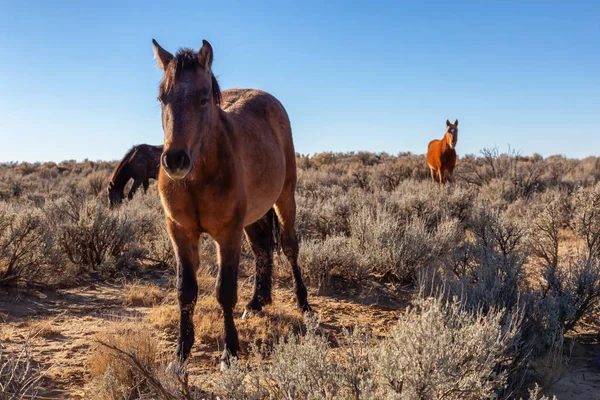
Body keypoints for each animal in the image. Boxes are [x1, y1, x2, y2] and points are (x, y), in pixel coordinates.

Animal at [150, 38, 312, 368]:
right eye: (162, 98)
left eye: (203, 99)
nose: (174, 160)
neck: (198, 177)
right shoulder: (180, 232)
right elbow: (185, 291)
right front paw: (181, 353)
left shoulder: (227, 234)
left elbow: (224, 291)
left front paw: (230, 352)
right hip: (252, 219)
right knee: (263, 250)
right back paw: (257, 302)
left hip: (284, 199)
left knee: (290, 247)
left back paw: (304, 304)